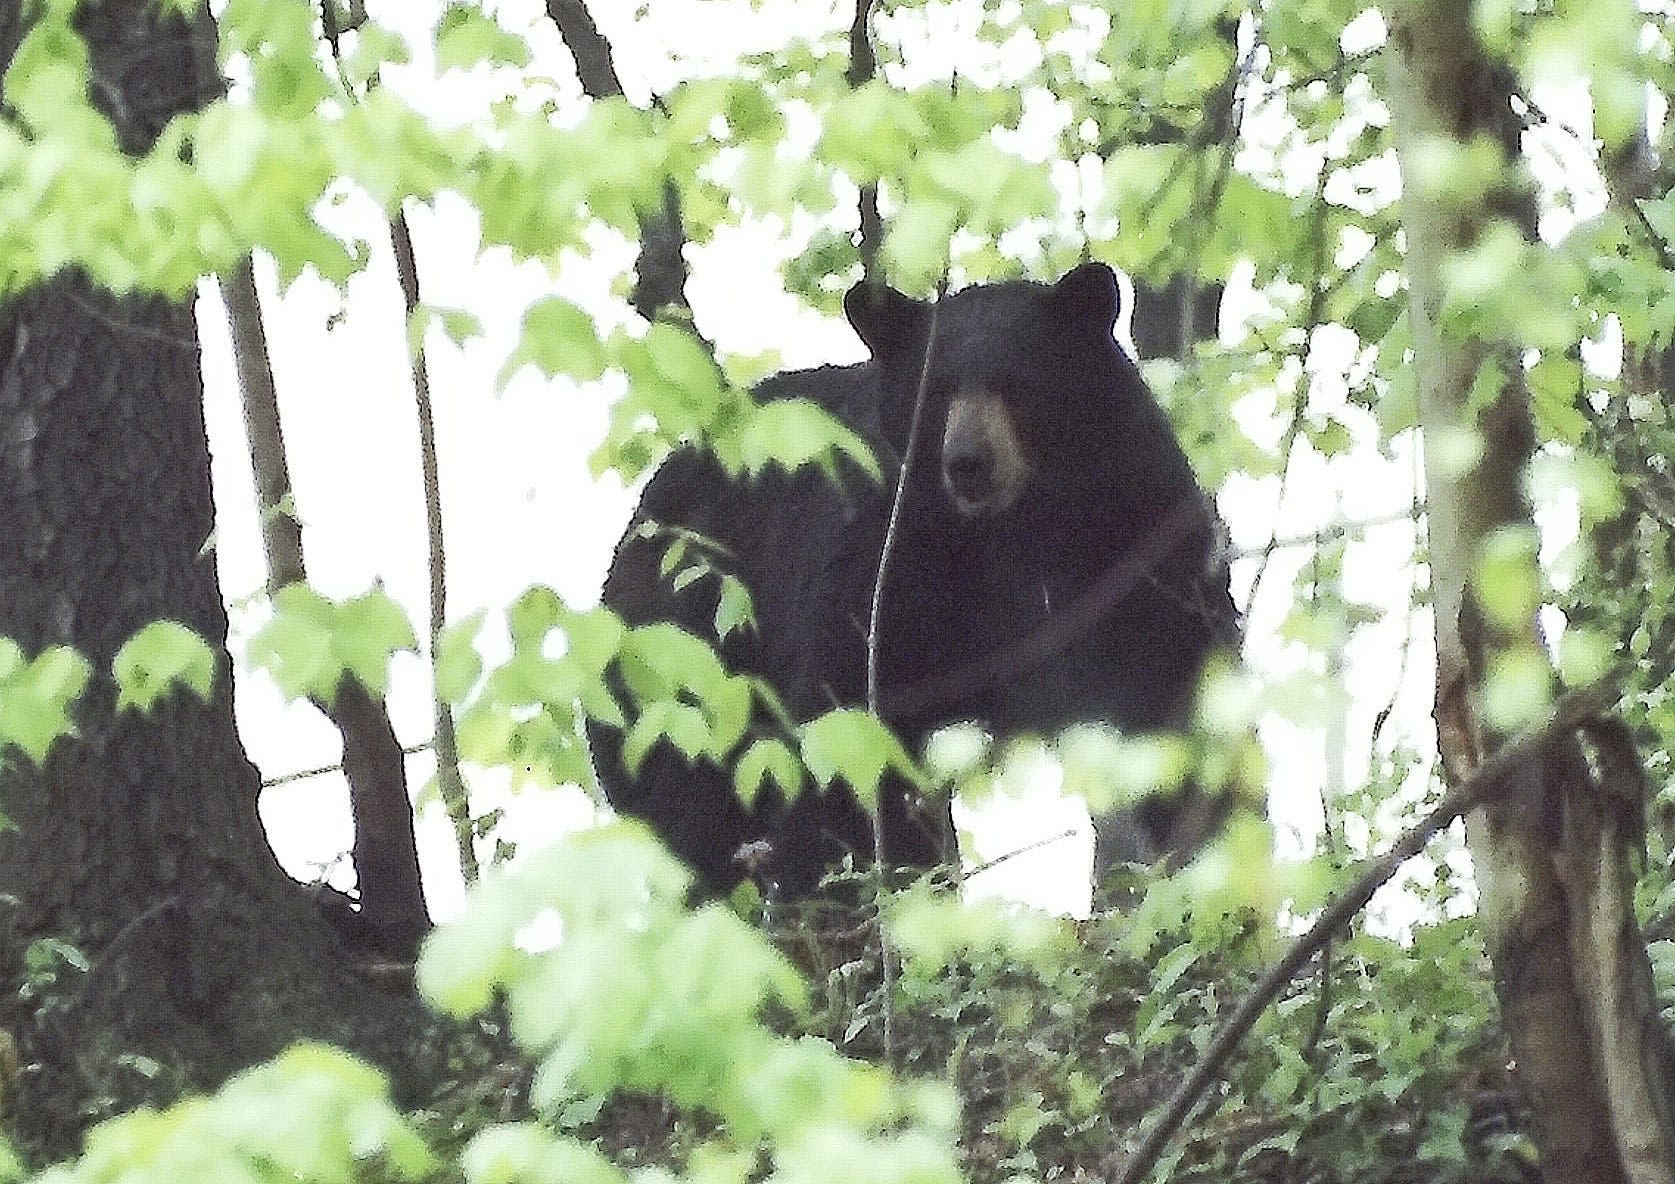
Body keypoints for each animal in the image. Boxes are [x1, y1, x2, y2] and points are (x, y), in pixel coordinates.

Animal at [586, 264, 1232, 904]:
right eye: (937, 390)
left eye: (1017, 383)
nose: (968, 462)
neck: (1013, 527)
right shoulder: (887, 556)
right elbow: (853, 709)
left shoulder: (1133, 532)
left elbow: (1165, 676)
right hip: (679, 653)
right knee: (692, 797)